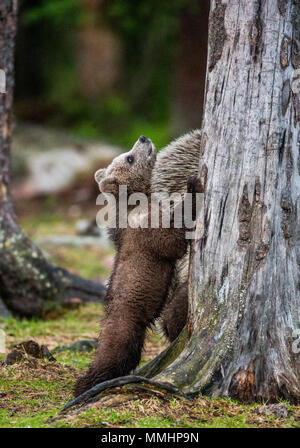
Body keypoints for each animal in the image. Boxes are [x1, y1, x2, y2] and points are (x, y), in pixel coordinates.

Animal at [74, 136, 203, 396]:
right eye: (130, 158)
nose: (143, 139)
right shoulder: (146, 227)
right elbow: (170, 241)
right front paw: (193, 187)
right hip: (126, 323)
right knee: (114, 354)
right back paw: (87, 383)